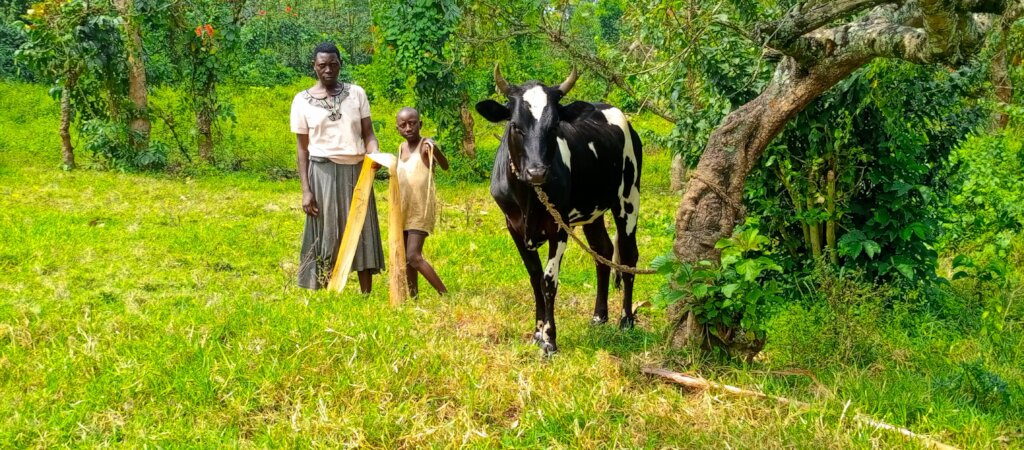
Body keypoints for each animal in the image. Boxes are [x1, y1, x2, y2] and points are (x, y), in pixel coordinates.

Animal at [475, 66, 643, 355]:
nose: (537, 171)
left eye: (554, 126)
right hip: (593, 210)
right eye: (515, 126)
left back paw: (626, 321)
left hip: (628, 199)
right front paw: (537, 332)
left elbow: (549, 280)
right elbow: (534, 277)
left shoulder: (559, 227)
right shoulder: (513, 226)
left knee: (628, 256)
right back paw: (599, 316)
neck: (529, 198)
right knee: (603, 251)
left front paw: (550, 339)